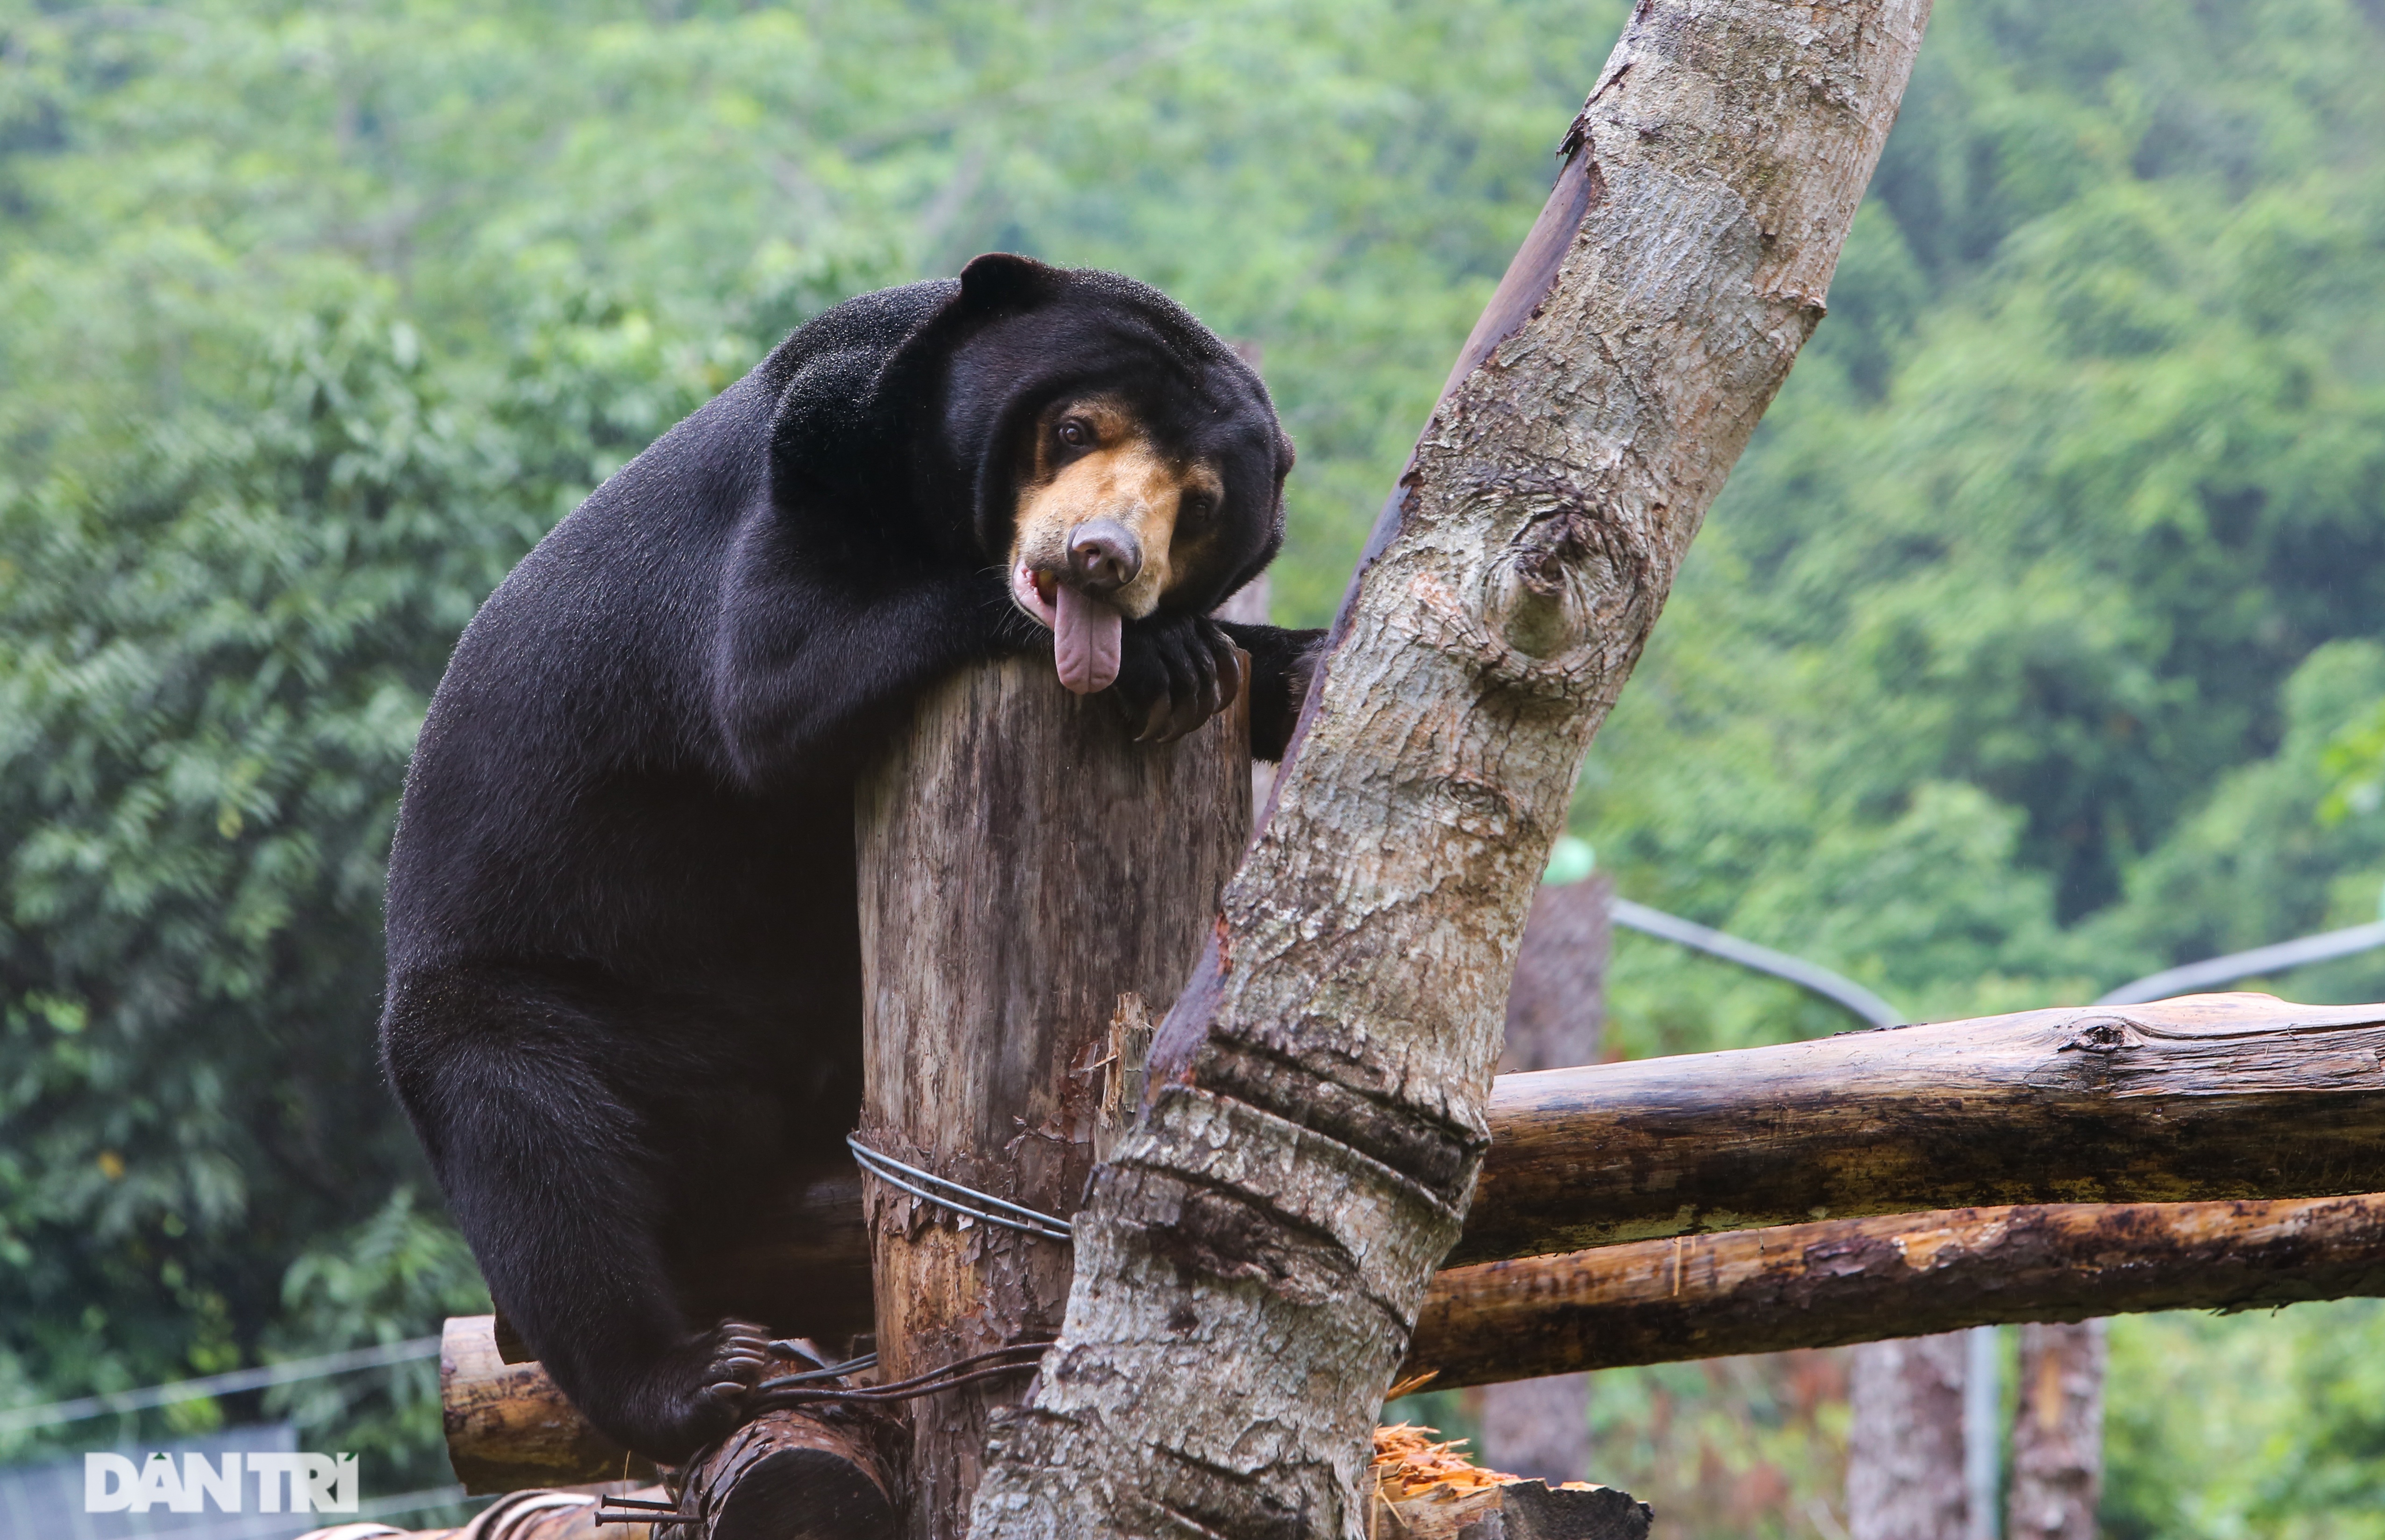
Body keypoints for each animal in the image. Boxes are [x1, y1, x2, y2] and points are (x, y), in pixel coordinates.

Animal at [381, 256, 1335, 1468]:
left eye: (1203, 502)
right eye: (1074, 427)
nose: (1101, 557)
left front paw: (1275, 664)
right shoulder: (805, 466)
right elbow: (776, 684)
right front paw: (1161, 658)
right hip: (538, 986)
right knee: (534, 1147)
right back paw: (700, 1372)